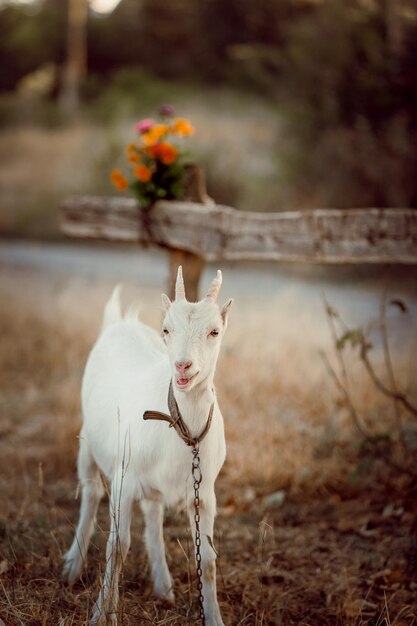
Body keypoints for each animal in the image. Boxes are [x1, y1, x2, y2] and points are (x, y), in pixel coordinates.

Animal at [62, 264, 231, 624]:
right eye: (166, 328)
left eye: (214, 332)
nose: (183, 365)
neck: (183, 431)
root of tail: (120, 321)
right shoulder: (123, 481)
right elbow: (117, 547)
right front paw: (102, 613)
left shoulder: (204, 493)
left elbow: (209, 560)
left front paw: (213, 616)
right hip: (87, 442)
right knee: (91, 493)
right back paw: (71, 566)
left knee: (153, 512)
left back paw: (163, 584)